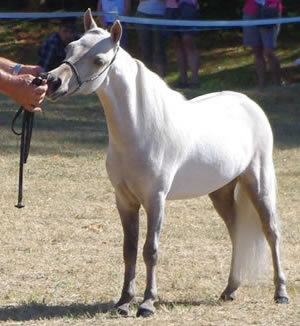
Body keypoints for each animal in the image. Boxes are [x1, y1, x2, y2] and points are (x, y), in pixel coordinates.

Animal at [46, 8, 288, 318]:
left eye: (98, 60)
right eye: (69, 48)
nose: (52, 81)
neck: (141, 128)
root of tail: (247, 103)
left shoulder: (155, 199)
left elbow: (151, 250)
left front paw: (147, 304)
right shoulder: (124, 200)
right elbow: (129, 249)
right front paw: (123, 302)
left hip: (259, 183)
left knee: (272, 233)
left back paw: (280, 293)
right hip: (221, 191)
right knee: (236, 232)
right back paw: (230, 290)